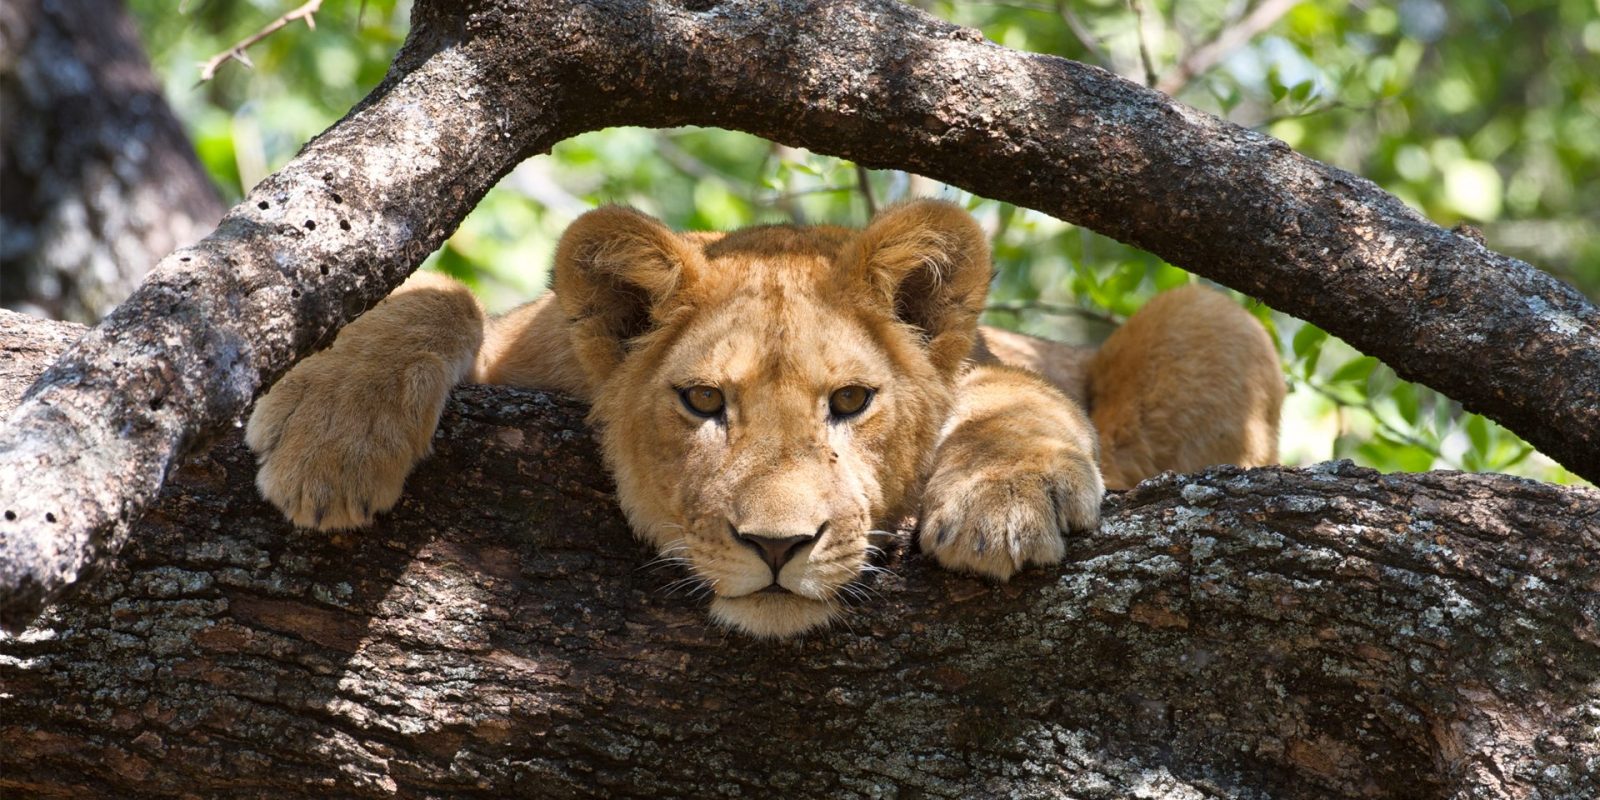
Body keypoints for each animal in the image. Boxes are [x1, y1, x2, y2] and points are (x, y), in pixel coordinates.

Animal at [246, 200, 1273, 636]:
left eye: (852, 403)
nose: (778, 547)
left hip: (1217, 319)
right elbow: (441, 294)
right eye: (703, 401)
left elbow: (1016, 397)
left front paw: (1004, 503)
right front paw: (330, 437)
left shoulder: (993, 367)